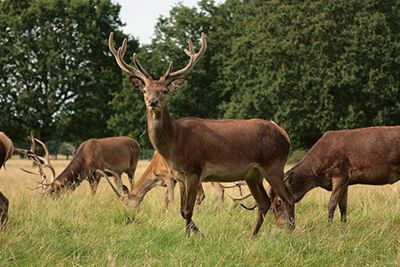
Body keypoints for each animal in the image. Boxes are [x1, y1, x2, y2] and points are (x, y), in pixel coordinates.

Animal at [108, 31, 294, 237]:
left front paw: (195, 235)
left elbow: (187, 210)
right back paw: (251, 236)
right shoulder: (179, 176)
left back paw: (291, 232)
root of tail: (285, 136)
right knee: (264, 202)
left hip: (274, 164)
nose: (153, 101)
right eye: (145, 90)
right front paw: (190, 235)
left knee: (289, 197)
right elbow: (182, 209)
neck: (175, 142)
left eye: (165, 90)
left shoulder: (194, 170)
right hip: (253, 174)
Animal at [268, 126, 400, 226]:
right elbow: (343, 206)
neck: (318, 177)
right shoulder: (347, 181)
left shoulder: (340, 174)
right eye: (271, 206)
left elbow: (332, 203)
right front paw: (343, 226)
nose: (280, 225)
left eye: (279, 202)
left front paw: (329, 226)